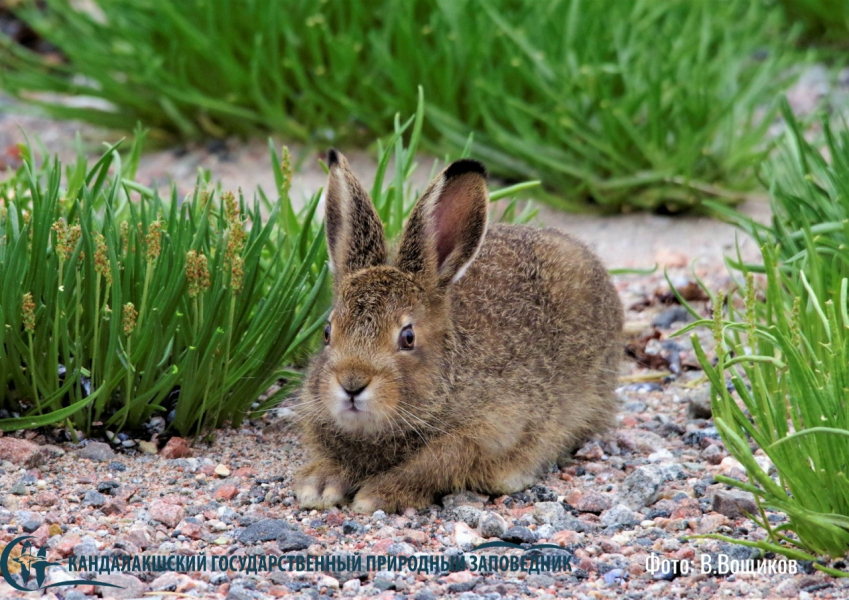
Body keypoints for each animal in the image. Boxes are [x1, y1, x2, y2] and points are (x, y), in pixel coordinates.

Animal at [293, 149, 623, 514]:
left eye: (408, 338)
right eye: (327, 332)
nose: (352, 383)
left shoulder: (492, 430)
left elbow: (436, 462)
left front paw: (377, 494)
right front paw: (319, 486)